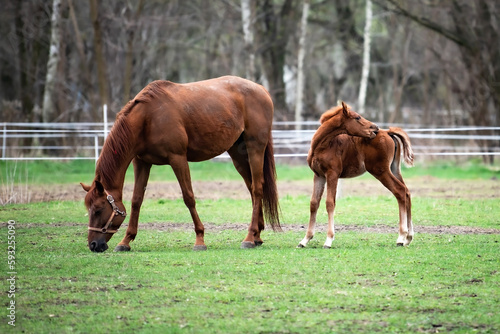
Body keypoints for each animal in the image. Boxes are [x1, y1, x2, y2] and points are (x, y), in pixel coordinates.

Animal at [80, 76, 280, 253]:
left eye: (98, 210)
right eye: (88, 209)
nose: (93, 245)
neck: (148, 117)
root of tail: (261, 89)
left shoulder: (178, 159)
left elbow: (188, 197)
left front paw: (200, 240)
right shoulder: (142, 162)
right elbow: (137, 200)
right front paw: (126, 241)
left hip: (255, 148)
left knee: (257, 189)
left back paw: (249, 237)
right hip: (238, 155)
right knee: (252, 188)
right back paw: (257, 236)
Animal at [298, 103, 412, 249]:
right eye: (357, 117)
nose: (375, 128)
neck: (322, 145)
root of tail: (388, 132)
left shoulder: (332, 174)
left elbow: (330, 203)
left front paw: (328, 240)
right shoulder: (319, 175)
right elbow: (313, 203)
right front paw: (305, 240)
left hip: (380, 171)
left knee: (400, 191)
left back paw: (401, 237)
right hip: (394, 169)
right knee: (406, 192)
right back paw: (408, 238)